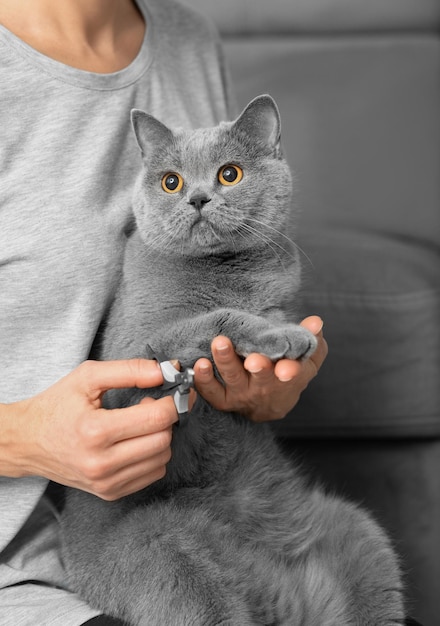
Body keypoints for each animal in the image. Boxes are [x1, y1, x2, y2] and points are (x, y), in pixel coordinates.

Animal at [60, 95, 404, 620]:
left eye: (229, 174)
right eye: (172, 182)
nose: (198, 198)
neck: (224, 273)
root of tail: (279, 598)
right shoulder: (127, 363)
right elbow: (212, 321)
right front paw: (282, 335)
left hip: (359, 534)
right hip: (170, 560)